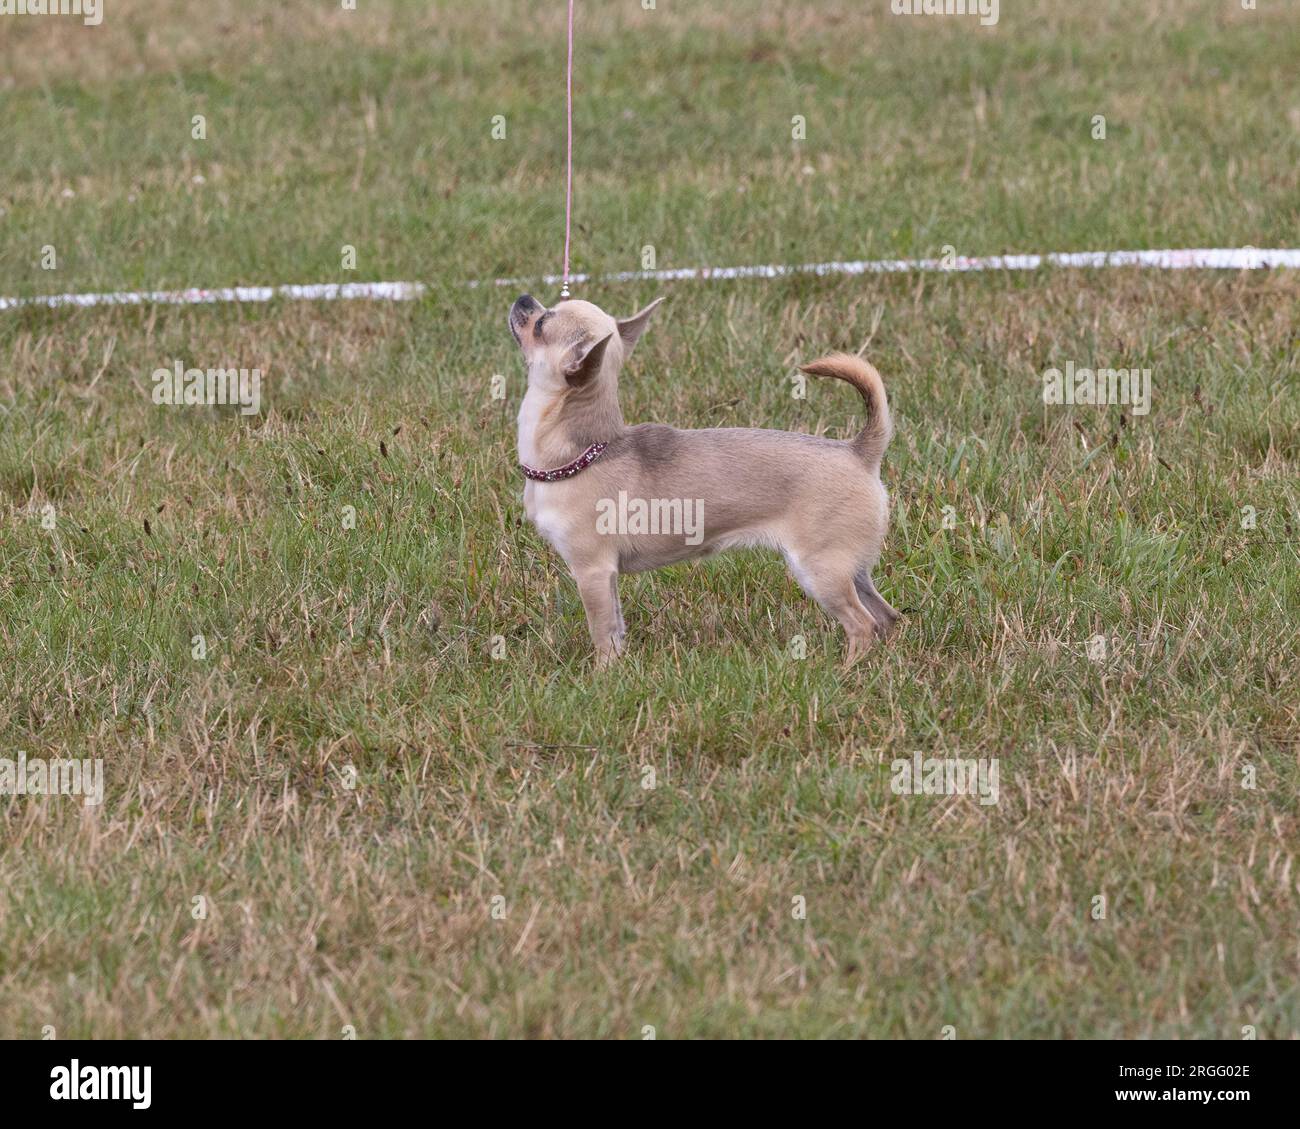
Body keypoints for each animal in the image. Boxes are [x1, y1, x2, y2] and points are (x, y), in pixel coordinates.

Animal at [512, 291, 899, 665]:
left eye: (542, 324)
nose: (524, 298)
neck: (585, 452)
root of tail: (858, 451)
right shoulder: (608, 577)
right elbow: (616, 629)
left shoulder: (592, 571)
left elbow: (603, 634)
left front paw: (603, 676)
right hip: (852, 568)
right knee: (886, 616)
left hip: (819, 570)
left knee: (861, 624)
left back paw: (844, 671)